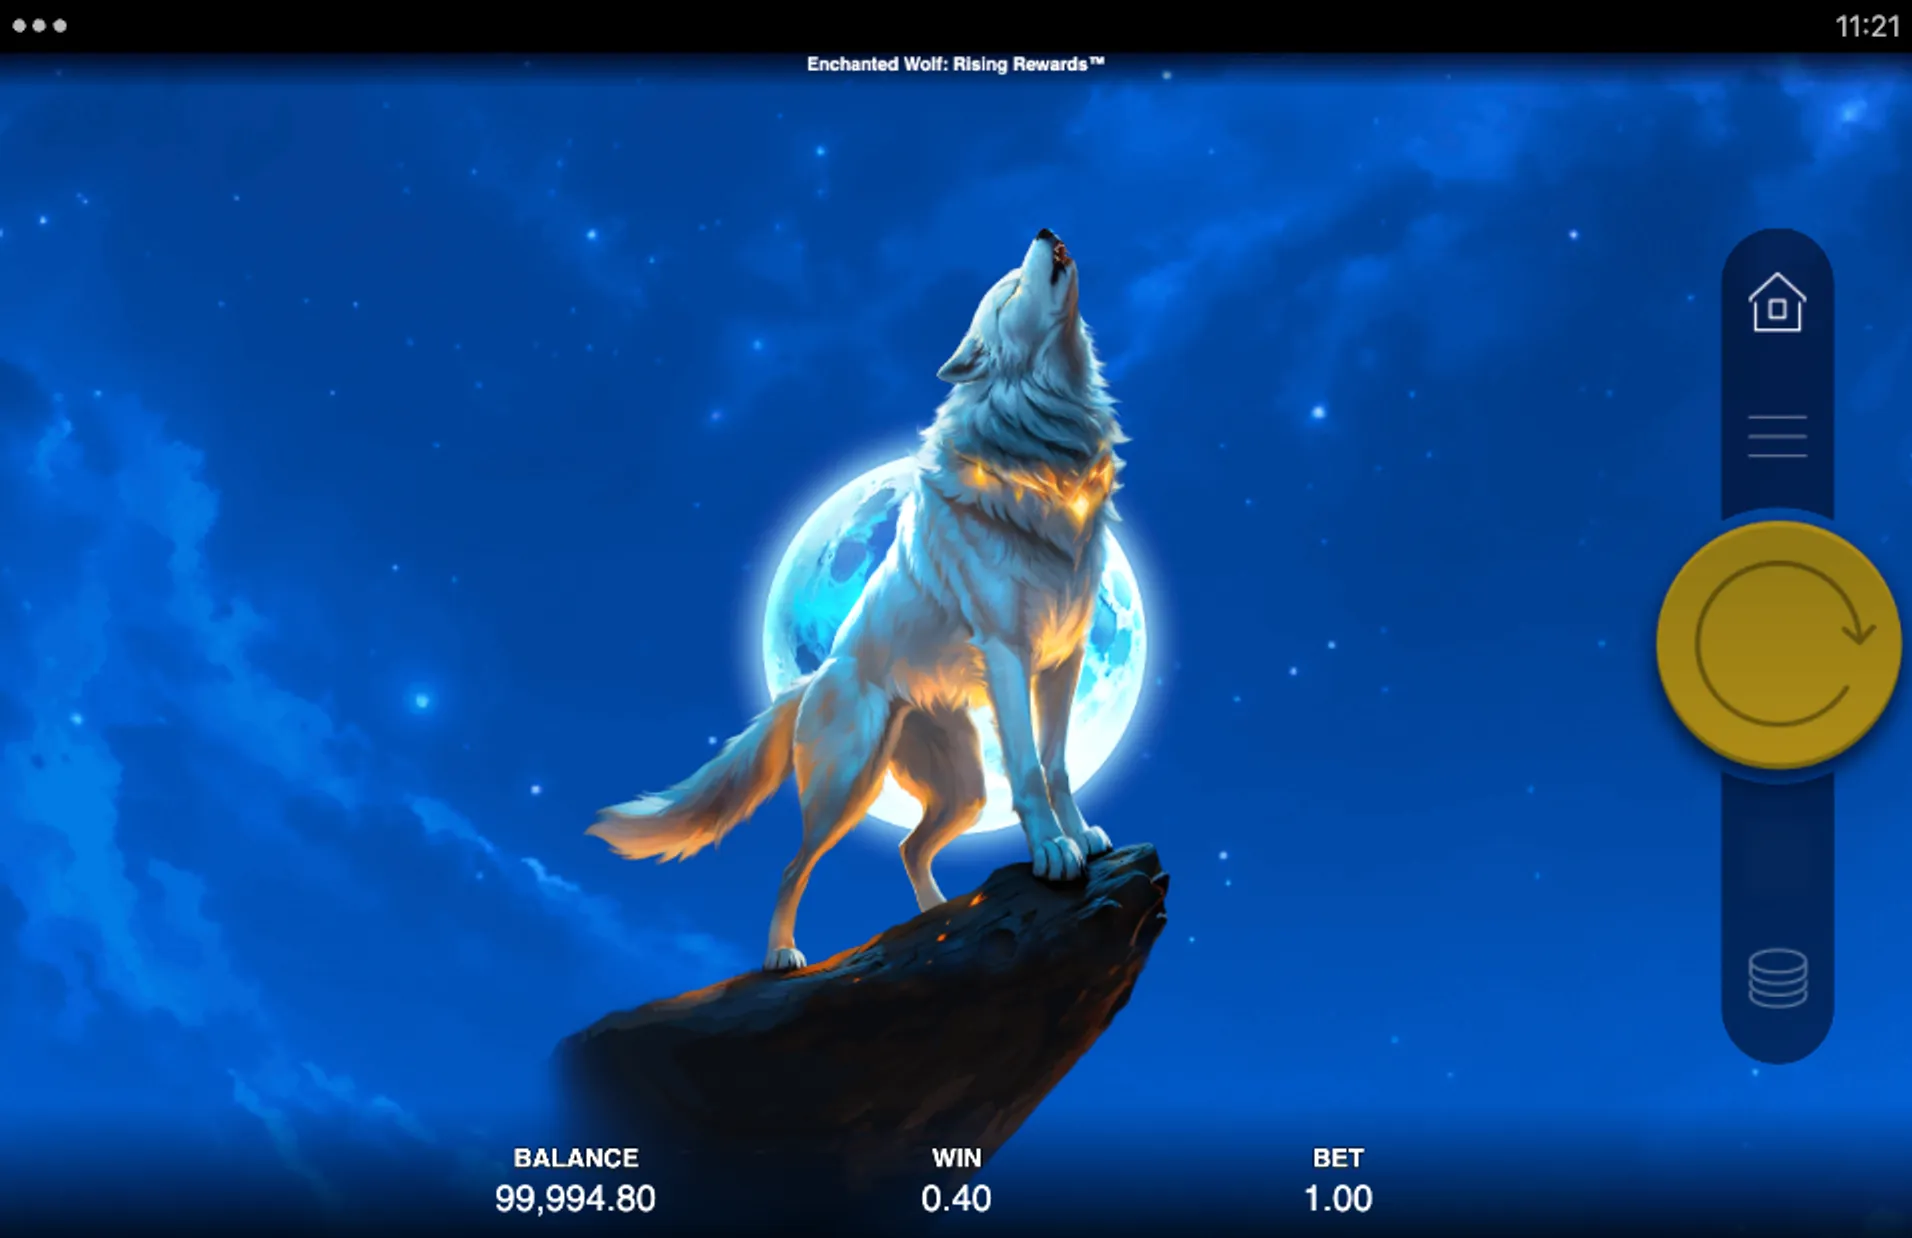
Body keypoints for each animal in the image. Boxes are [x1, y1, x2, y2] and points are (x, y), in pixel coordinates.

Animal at [588, 229, 1127, 972]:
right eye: (1010, 290)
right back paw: (782, 956)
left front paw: (1082, 836)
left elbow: (1060, 763)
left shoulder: (1063, 660)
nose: (1046, 233)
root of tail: (814, 677)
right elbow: (1027, 768)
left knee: (907, 845)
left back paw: (937, 921)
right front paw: (1052, 851)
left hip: (961, 789)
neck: (1043, 458)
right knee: (793, 866)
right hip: (848, 784)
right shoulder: (1007, 653)